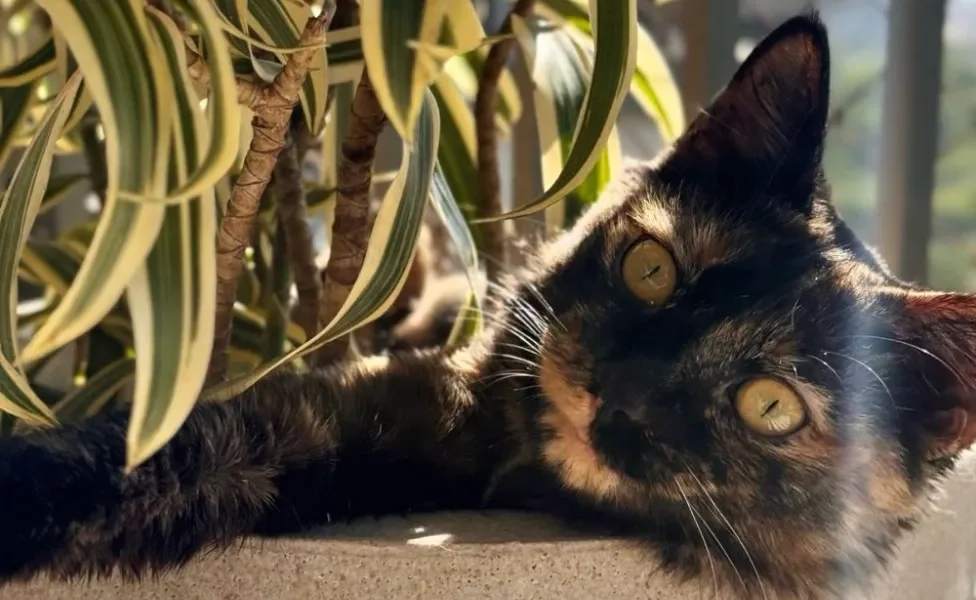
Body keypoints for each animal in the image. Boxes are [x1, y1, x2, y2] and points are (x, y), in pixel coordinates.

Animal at [1, 10, 976, 600]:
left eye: (771, 405)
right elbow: (173, 454)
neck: (516, 479)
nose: (620, 390)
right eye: (652, 268)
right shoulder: (373, 405)